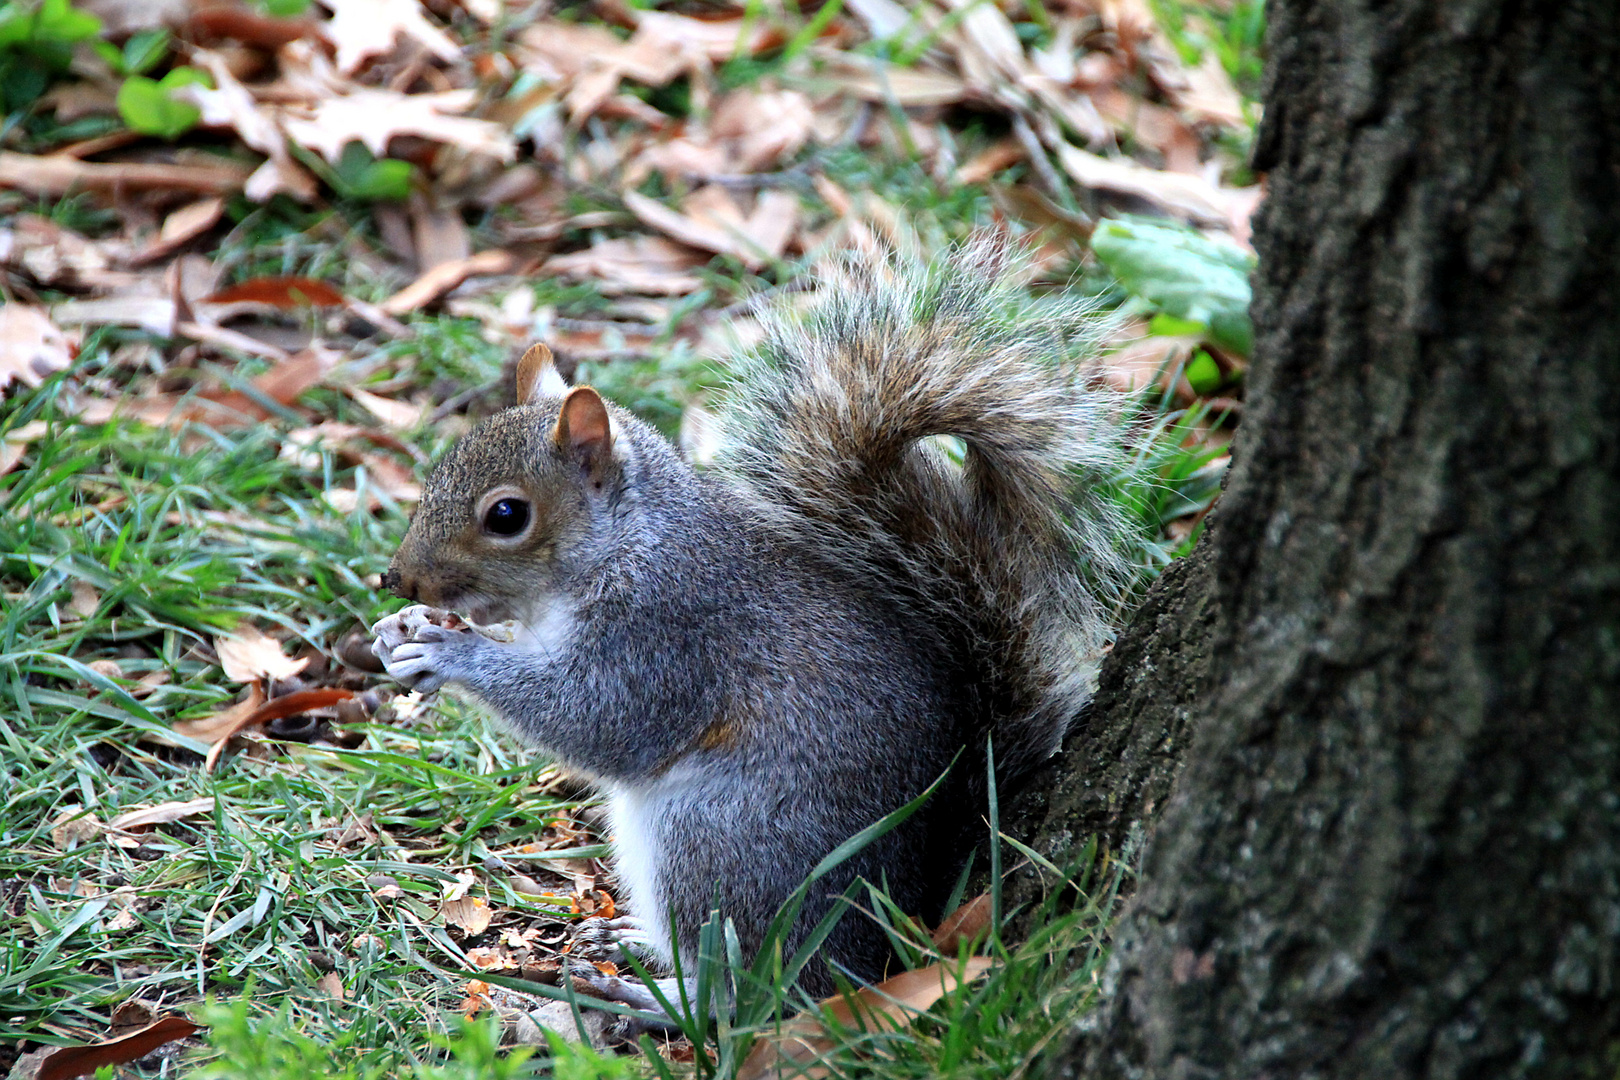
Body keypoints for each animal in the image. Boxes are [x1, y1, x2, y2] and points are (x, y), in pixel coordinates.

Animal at [370, 242, 1134, 1003]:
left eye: (507, 515)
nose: (398, 578)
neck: (623, 544)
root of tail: (898, 914)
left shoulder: (666, 633)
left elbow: (597, 720)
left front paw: (448, 652)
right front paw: (399, 629)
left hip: (716, 843)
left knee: (749, 990)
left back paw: (653, 998)